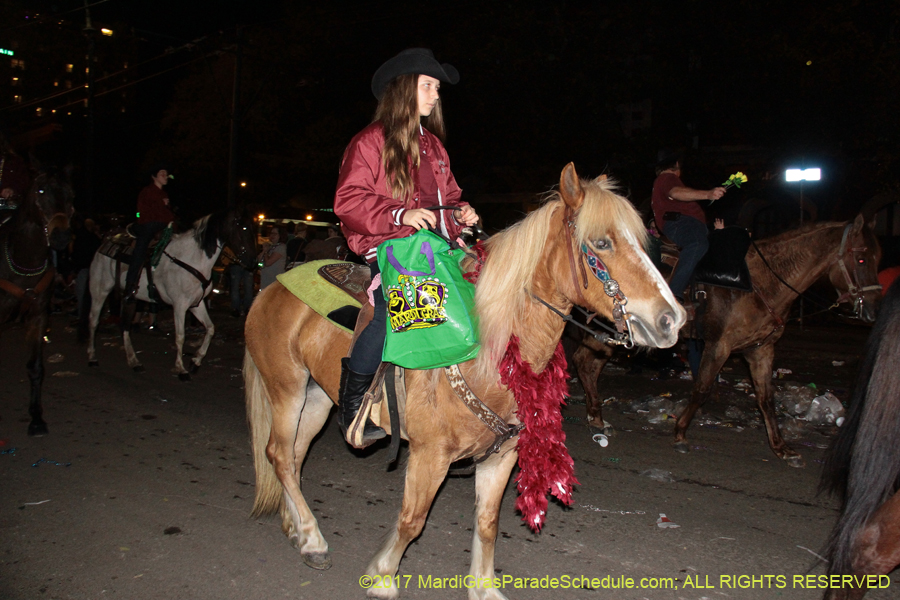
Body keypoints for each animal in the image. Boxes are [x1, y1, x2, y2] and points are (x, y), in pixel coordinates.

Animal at [0, 166, 74, 434]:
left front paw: (36, 418)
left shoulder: (39, 315)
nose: (61, 237)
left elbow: (35, 368)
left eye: (70, 194)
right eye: (40, 191)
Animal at [85, 209, 255, 380]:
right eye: (244, 228)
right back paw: (92, 358)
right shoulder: (179, 306)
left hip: (130, 298)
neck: (193, 259)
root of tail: (106, 241)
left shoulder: (196, 304)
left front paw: (195, 361)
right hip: (100, 291)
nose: (252, 263)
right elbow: (180, 336)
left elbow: (210, 329)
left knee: (125, 325)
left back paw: (134, 362)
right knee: (93, 321)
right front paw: (181, 369)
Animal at [243, 162, 684, 596]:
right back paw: (313, 539)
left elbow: (487, 524)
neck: (488, 356)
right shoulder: (429, 456)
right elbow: (412, 520)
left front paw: (483, 587)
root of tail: (272, 286)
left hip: (317, 396)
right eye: (602, 243)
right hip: (286, 389)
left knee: (294, 456)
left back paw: (296, 529)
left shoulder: (501, 458)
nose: (672, 319)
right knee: (279, 455)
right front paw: (383, 577)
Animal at [572, 216, 884, 468]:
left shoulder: (761, 350)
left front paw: (782, 448)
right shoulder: (719, 346)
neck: (759, 283)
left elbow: (766, 398)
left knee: (588, 365)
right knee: (584, 363)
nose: (872, 310)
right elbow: (702, 389)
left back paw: (596, 418)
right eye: (861, 259)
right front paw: (681, 432)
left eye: (877, 258)